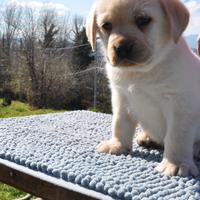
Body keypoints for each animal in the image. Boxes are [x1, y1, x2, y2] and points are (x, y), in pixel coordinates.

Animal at [86, 0, 200, 177]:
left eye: (143, 20)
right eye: (106, 25)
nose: (122, 47)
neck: (140, 72)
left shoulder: (180, 104)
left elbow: (177, 137)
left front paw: (175, 163)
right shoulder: (121, 97)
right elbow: (119, 123)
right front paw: (117, 145)